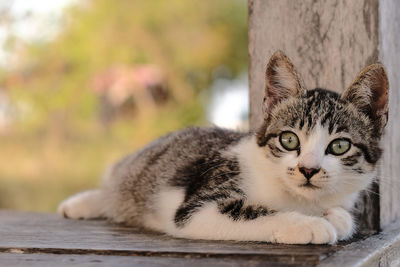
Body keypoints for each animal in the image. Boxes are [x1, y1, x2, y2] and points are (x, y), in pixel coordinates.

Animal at [57, 50, 390, 245]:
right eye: (289, 140)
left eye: (339, 146)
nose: (308, 169)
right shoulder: (197, 208)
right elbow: (251, 213)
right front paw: (308, 224)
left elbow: (343, 215)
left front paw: (335, 217)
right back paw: (81, 203)